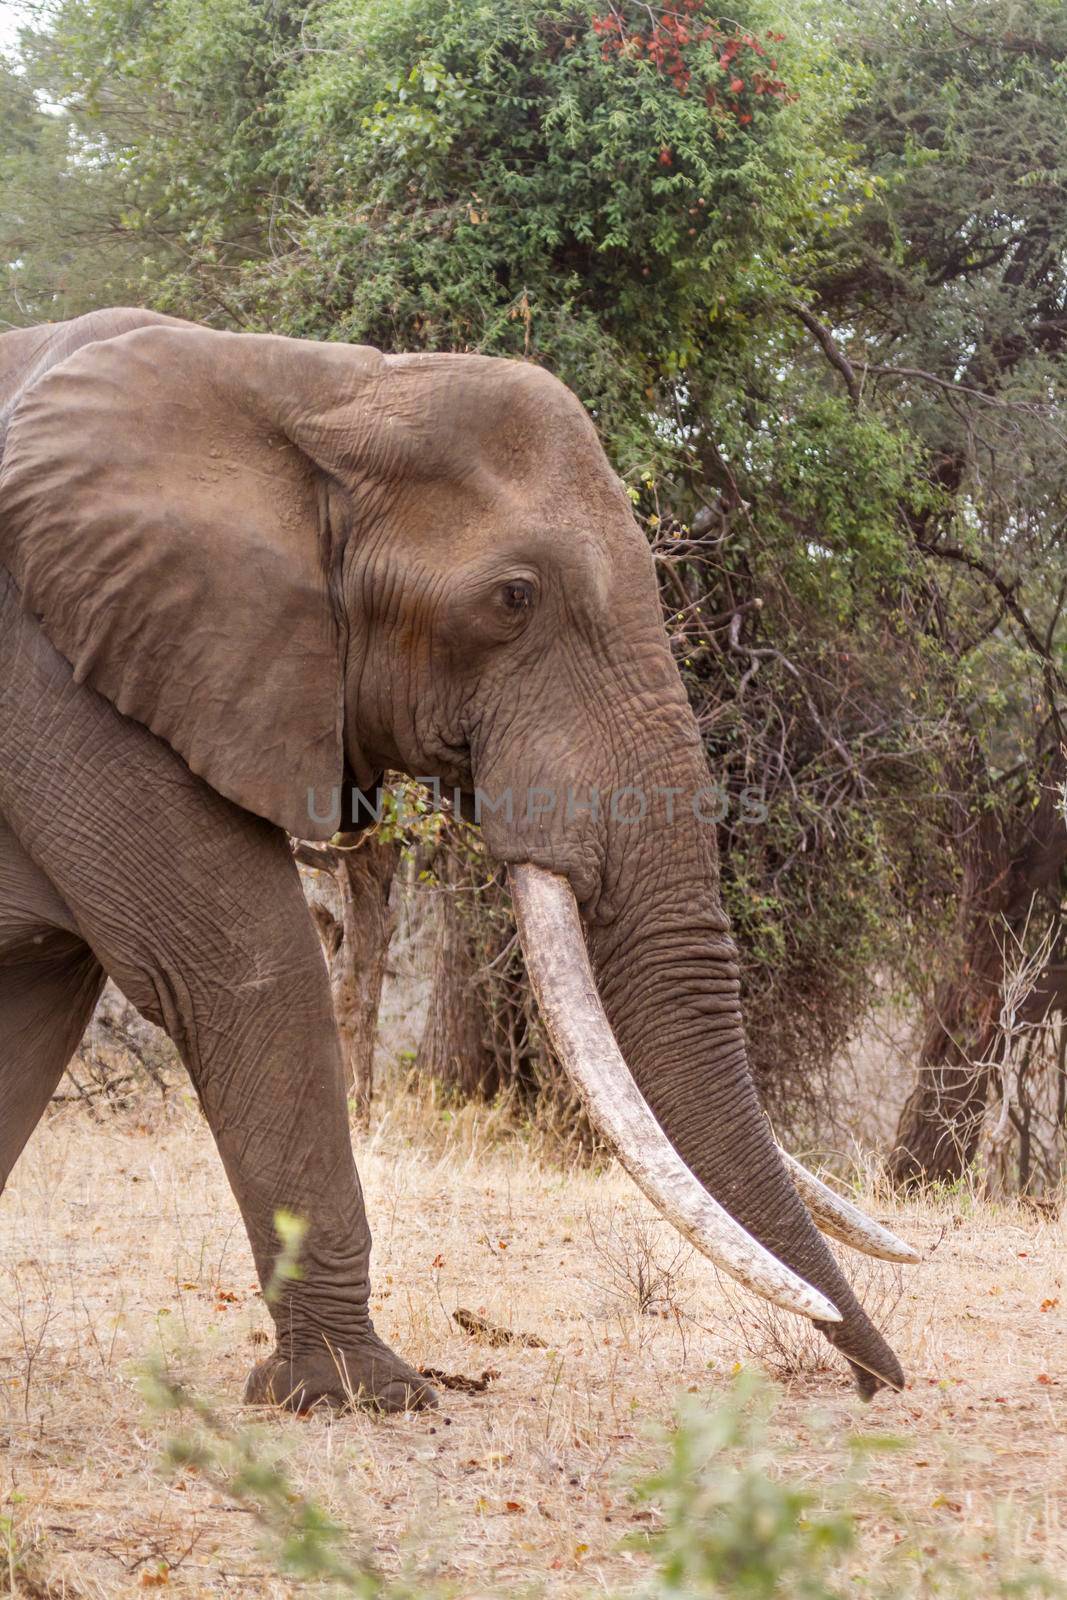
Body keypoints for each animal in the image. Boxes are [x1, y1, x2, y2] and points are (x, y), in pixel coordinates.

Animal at [0, 308, 921, 1414]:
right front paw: (362, 1396)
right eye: (512, 599)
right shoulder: (60, 680)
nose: (881, 1386)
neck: (313, 385)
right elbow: (238, 969)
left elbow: (31, 1007)